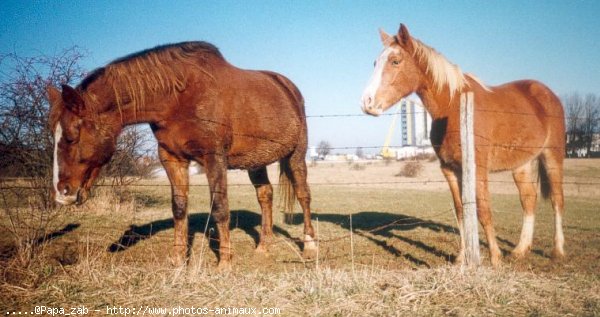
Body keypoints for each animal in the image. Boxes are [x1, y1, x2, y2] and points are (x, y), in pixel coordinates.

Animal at [46, 41, 316, 270]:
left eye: (71, 135)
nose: (62, 193)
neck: (180, 97)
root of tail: (288, 88)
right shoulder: (172, 159)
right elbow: (178, 207)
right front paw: (177, 259)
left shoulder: (214, 158)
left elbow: (220, 207)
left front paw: (224, 263)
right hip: (255, 161)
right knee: (265, 196)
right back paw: (263, 247)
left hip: (296, 155)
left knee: (303, 195)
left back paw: (310, 247)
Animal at [360, 25, 568, 266]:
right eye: (375, 63)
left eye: (395, 61)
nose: (366, 103)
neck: (453, 106)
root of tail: (547, 94)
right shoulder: (450, 170)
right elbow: (461, 211)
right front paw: (462, 257)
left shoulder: (478, 169)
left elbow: (484, 211)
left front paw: (495, 258)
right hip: (521, 165)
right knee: (528, 200)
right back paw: (520, 250)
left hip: (552, 157)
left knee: (557, 200)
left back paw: (557, 250)